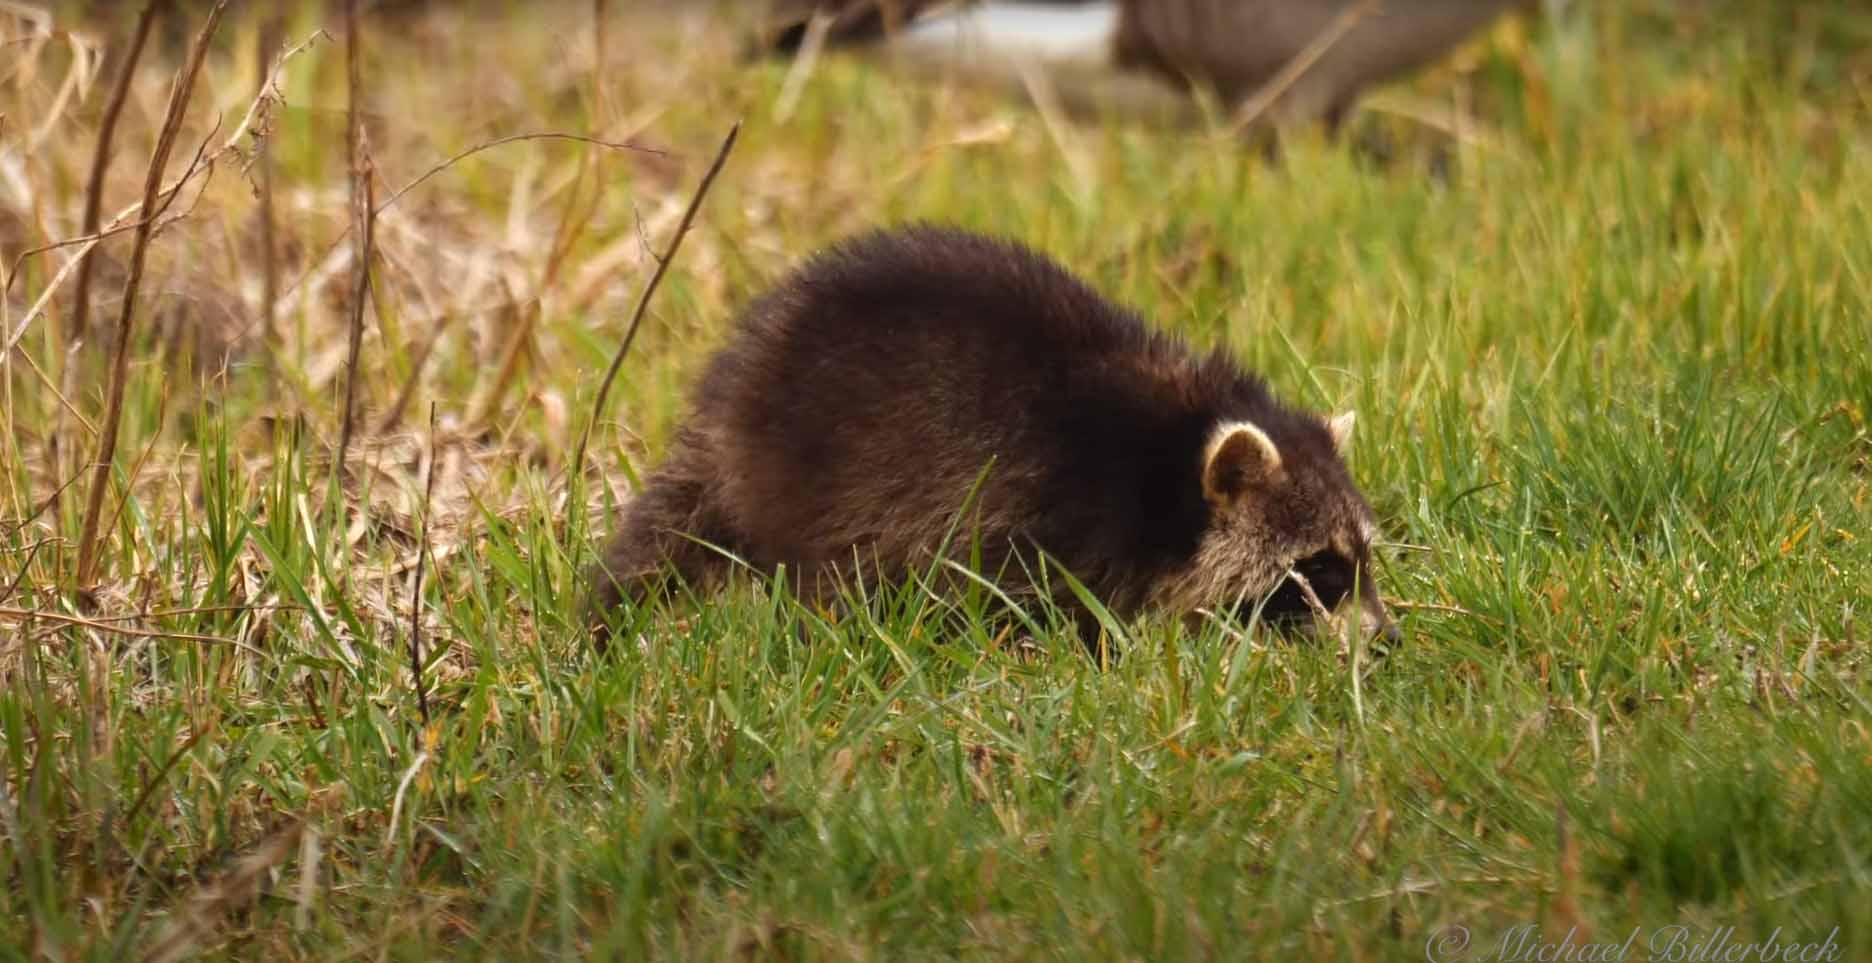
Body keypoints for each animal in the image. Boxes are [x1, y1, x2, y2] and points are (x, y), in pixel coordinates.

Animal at [591, 223, 1400, 644]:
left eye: (1363, 557)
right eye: (1319, 568)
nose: (1387, 639)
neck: (1168, 455)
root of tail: (732, 399)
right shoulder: (1047, 510)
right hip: (822, 477)